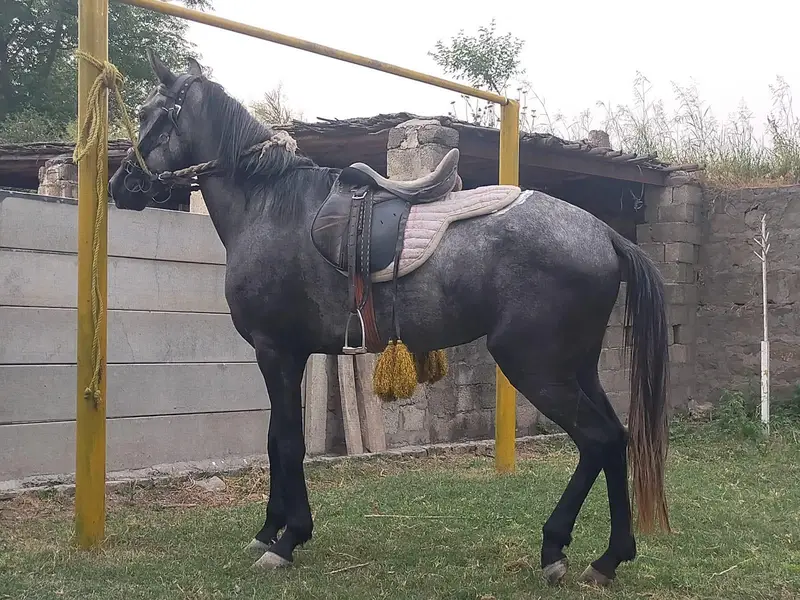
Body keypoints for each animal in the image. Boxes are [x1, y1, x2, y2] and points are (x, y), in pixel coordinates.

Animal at [108, 50, 671, 587]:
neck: (269, 207)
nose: (120, 183)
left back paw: (557, 549)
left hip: (536, 367)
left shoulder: (277, 352)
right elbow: (273, 440)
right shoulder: (286, 356)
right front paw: (270, 530)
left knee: (597, 440)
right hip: (577, 367)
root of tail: (604, 234)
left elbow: (287, 442)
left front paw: (288, 539)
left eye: (149, 113)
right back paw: (609, 558)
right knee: (616, 438)